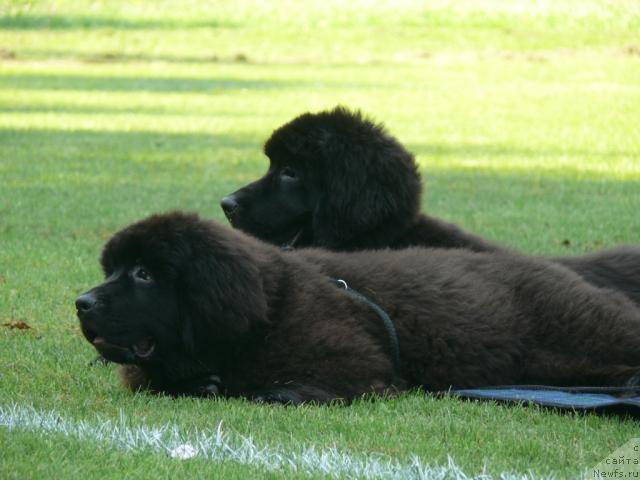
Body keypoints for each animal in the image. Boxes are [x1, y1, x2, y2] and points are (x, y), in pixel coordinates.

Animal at [75, 212, 640, 404]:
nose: (81, 302)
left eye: (144, 274)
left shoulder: (355, 364)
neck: (269, 308)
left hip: (583, 333)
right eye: (111, 269)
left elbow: (276, 391)